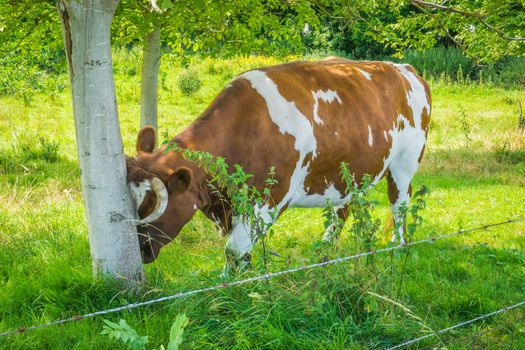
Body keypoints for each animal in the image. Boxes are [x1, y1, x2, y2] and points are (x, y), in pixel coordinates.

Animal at [127, 56, 430, 272]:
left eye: (151, 208)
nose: (139, 251)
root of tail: (404, 69)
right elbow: (242, 254)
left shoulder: (268, 200)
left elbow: (234, 253)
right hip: (348, 170)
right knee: (342, 209)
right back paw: (323, 252)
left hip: (404, 163)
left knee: (399, 205)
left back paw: (396, 249)